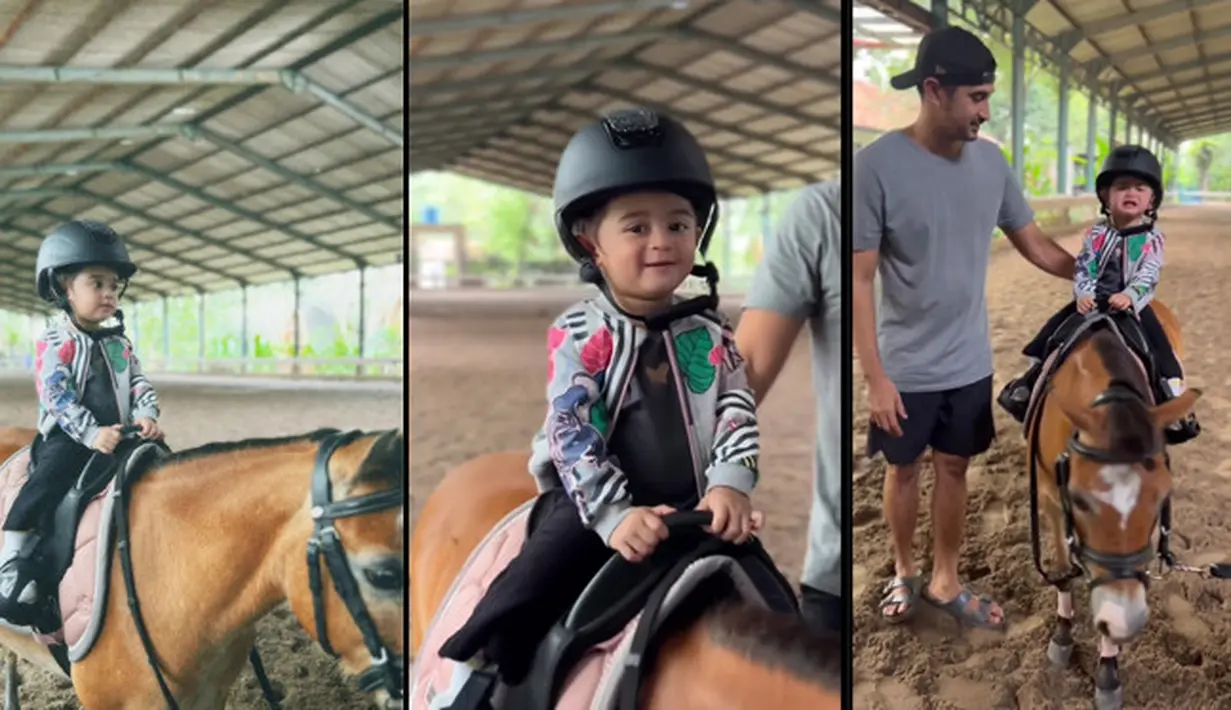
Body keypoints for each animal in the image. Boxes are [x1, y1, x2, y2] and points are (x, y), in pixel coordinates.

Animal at [1029, 300, 1201, 708]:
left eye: (1162, 497)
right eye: (1078, 499)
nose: (1127, 621)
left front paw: (1108, 670)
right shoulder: (1052, 503)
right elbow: (1065, 571)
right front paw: (1062, 637)